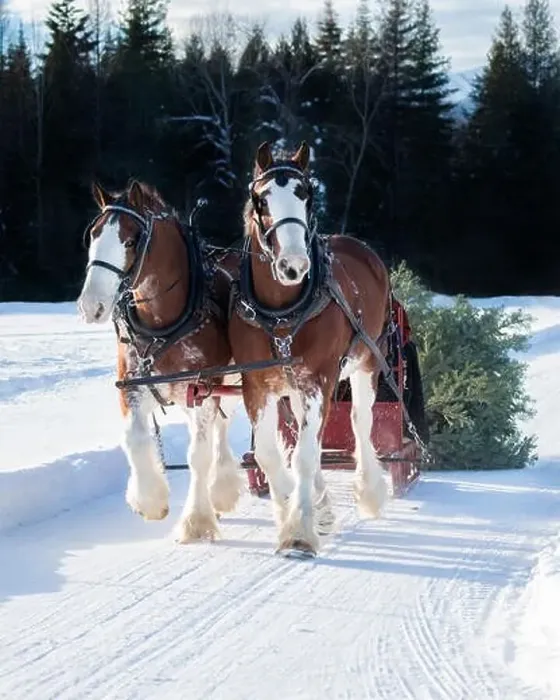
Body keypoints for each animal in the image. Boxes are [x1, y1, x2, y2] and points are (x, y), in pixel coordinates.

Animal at [77, 180, 244, 543]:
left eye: (130, 240)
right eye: (93, 235)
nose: (91, 305)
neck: (162, 324)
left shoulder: (203, 391)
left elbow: (198, 455)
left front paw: (197, 521)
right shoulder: (133, 388)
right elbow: (135, 439)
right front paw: (149, 500)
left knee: (223, 429)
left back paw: (222, 490)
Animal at [228, 141, 392, 557]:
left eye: (306, 195)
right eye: (262, 198)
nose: (294, 265)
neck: (282, 311)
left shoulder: (321, 378)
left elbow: (304, 454)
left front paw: (299, 531)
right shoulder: (257, 385)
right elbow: (271, 453)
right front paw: (296, 507)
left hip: (368, 361)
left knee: (360, 422)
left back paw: (369, 491)